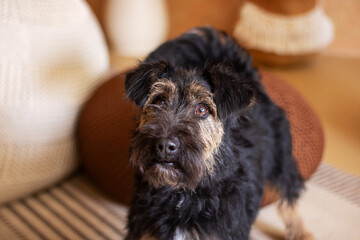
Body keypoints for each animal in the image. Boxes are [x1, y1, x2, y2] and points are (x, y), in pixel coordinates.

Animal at [123, 26, 310, 240]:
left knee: (289, 194)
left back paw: (300, 232)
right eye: (159, 100)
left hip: (280, 160)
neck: (181, 195)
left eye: (202, 109)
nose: (164, 145)